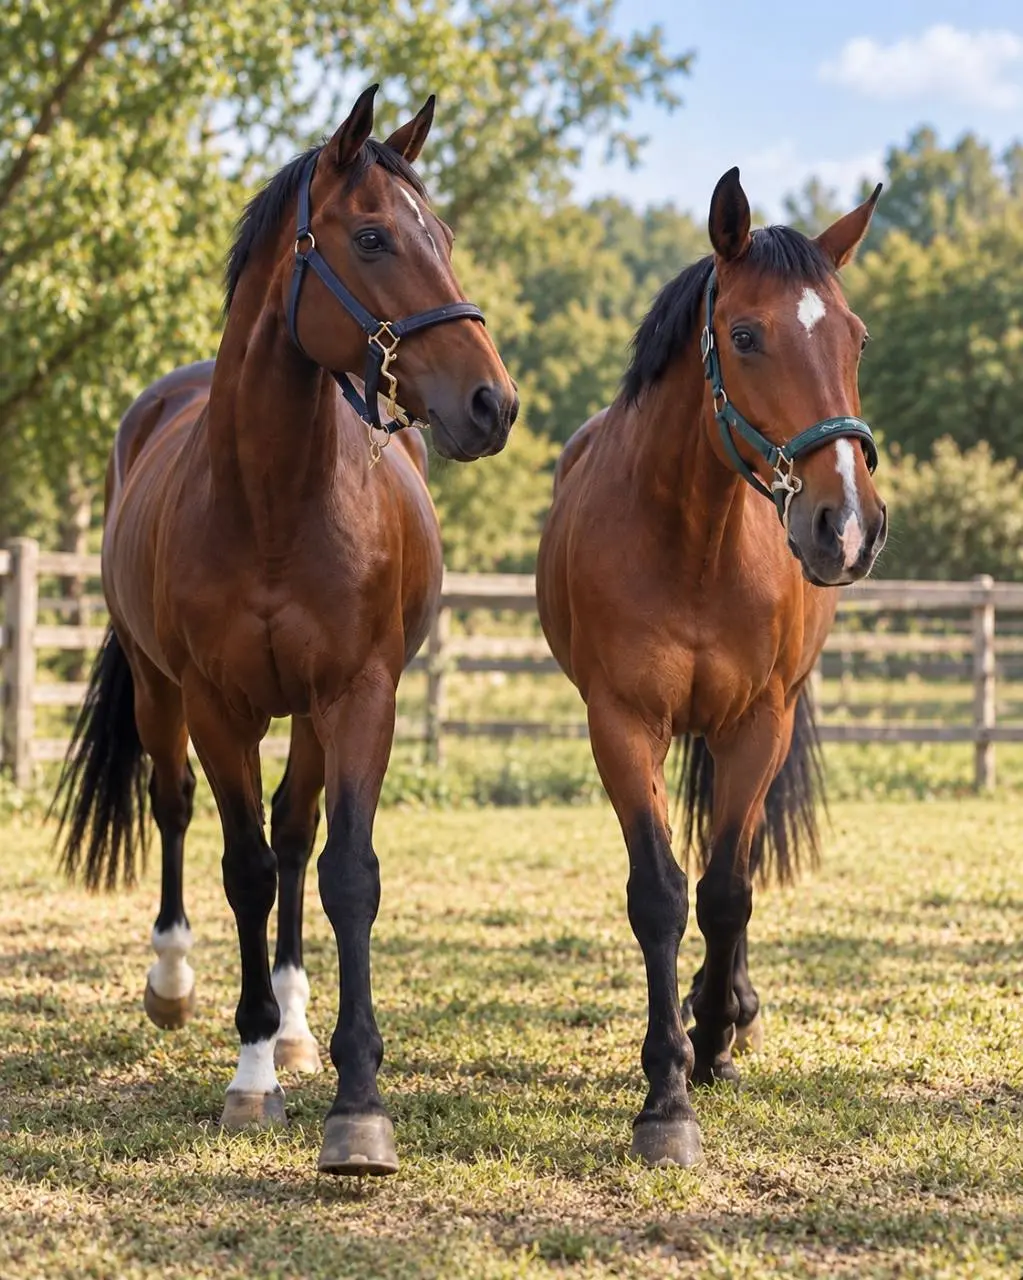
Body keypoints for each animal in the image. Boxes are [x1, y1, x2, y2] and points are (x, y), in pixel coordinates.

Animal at [53, 85, 518, 1178]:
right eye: (374, 236)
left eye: (442, 236)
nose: (492, 402)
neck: (267, 499)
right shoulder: (217, 706)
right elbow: (244, 869)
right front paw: (250, 1068)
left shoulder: (358, 696)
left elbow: (342, 868)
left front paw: (354, 1098)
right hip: (160, 691)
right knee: (177, 809)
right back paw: (174, 981)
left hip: (307, 714)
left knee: (301, 832)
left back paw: (301, 1020)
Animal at [536, 167, 887, 1167]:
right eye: (745, 335)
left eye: (853, 337)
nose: (846, 525)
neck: (690, 539)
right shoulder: (622, 725)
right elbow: (658, 894)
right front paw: (666, 1094)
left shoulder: (756, 723)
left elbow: (728, 888)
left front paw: (718, 1029)